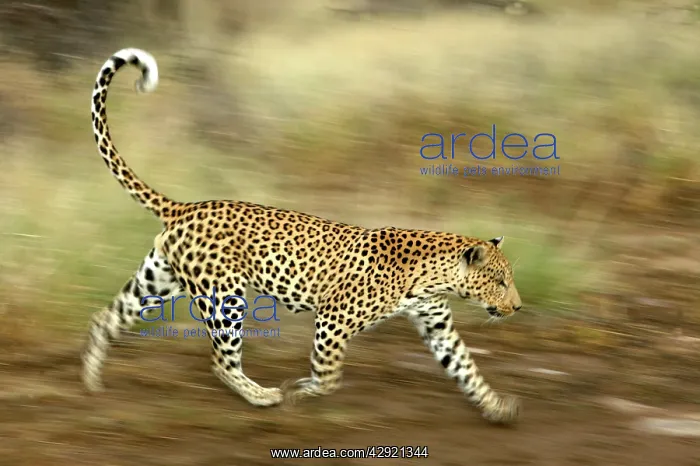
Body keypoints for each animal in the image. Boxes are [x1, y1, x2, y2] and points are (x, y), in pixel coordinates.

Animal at [82, 47, 524, 425]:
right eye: (500, 281)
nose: (518, 307)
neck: (435, 278)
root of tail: (186, 207)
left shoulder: (438, 327)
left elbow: (467, 369)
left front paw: (497, 408)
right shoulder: (333, 317)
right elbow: (328, 374)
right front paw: (302, 390)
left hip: (157, 282)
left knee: (106, 317)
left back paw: (90, 380)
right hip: (224, 296)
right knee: (221, 360)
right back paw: (262, 395)